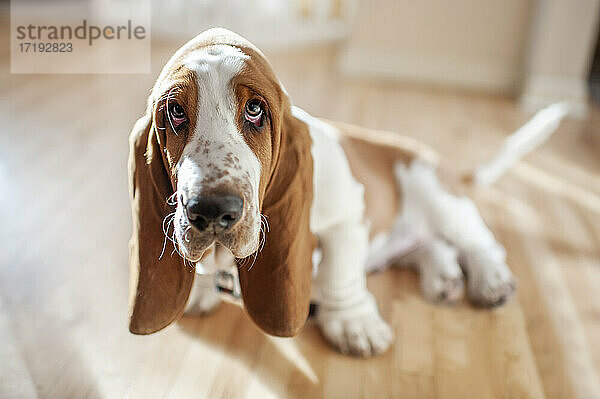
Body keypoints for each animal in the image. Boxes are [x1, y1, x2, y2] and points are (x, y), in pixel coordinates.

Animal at [129, 29, 524, 358]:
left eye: (255, 109)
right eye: (175, 111)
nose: (211, 209)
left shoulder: (348, 215)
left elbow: (340, 270)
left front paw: (354, 324)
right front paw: (199, 290)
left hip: (439, 197)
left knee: (482, 245)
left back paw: (491, 281)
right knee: (430, 247)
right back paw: (443, 278)